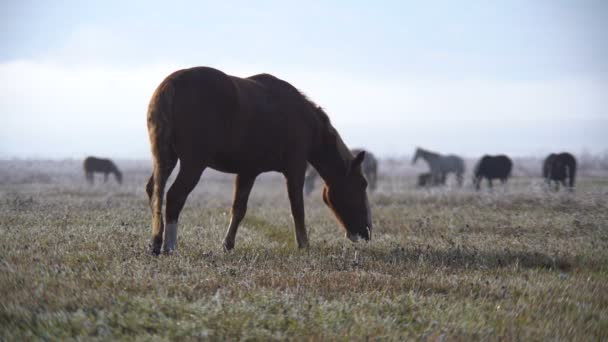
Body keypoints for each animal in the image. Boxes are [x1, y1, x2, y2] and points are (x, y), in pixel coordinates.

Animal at [145, 66, 372, 254]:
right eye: (362, 184)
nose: (367, 232)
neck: (305, 121)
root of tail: (170, 85)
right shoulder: (295, 169)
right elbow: (297, 208)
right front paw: (304, 245)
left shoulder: (248, 172)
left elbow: (238, 209)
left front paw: (228, 245)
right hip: (193, 164)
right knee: (175, 196)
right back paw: (170, 247)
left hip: (166, 158)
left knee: (154, 191)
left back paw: (156, 242)